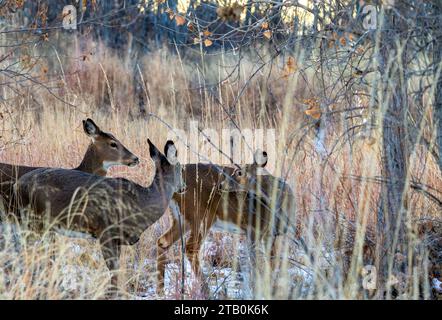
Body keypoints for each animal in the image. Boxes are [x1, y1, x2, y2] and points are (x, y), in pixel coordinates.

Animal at [14, 139, 185, 296]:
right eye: (181, 168)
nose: (184, 187)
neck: (141, 202)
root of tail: (18, 185)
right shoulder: (106, 232)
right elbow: (113, 274)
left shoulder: (118, 239)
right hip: (33, 221)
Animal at [155, 149, 304, 296]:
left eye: (239, 172)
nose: (221, 185)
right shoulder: (253, 231)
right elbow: (256, 264)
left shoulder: (273, 235)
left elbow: (271, 262)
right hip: (201, 215)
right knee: (190, 247)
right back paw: (207, 290)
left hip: (182, 219)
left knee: (163, 241)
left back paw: (160, 290)